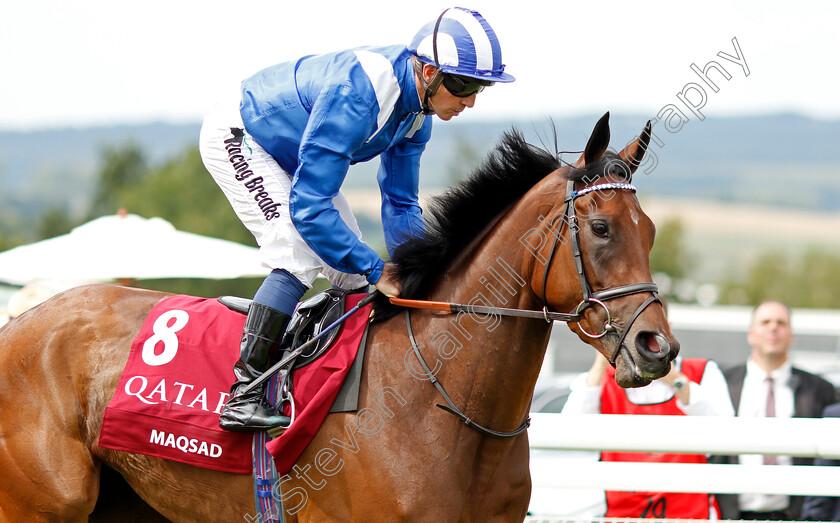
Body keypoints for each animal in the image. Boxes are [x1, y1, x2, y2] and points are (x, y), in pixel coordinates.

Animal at [0, 112, 676, 520]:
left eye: (650, 230)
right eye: (600, 229)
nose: (657, 347)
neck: (442, 402)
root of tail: (19, 325)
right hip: (43, 504)